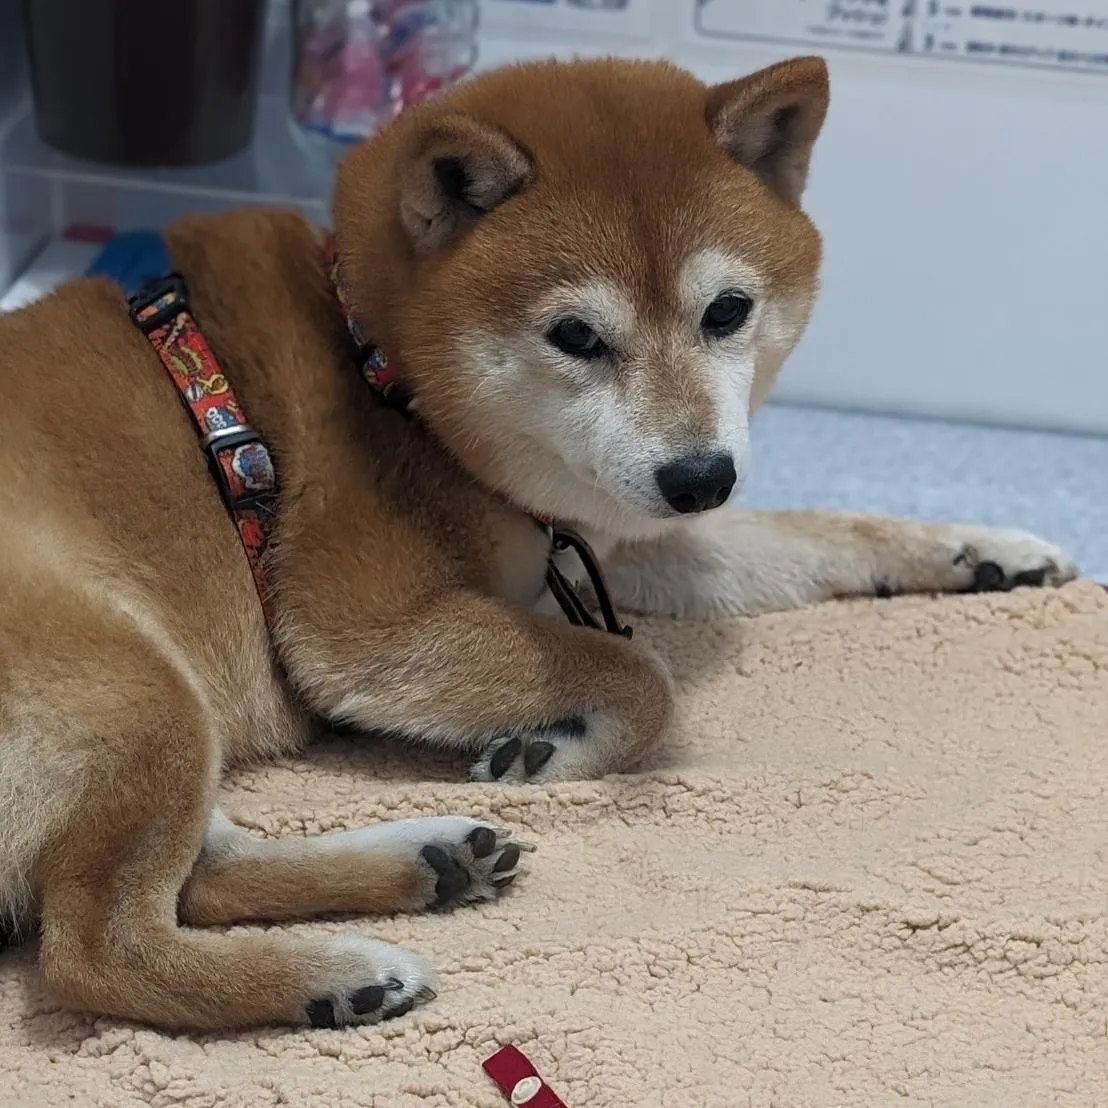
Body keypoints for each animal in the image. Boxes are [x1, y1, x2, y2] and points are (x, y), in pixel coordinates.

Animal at [0, 56, 1072, 1032]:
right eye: (576, 336)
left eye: (727, 311)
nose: (701, 477)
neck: (379, 365)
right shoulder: (360, 626)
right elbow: (642, 676)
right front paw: (556, 750)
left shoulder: (606, 530)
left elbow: (819, 533)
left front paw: (985, 549)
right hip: (140, 689)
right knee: (96, 948)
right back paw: (331, 975)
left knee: (197, 881)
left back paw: (424, 865)